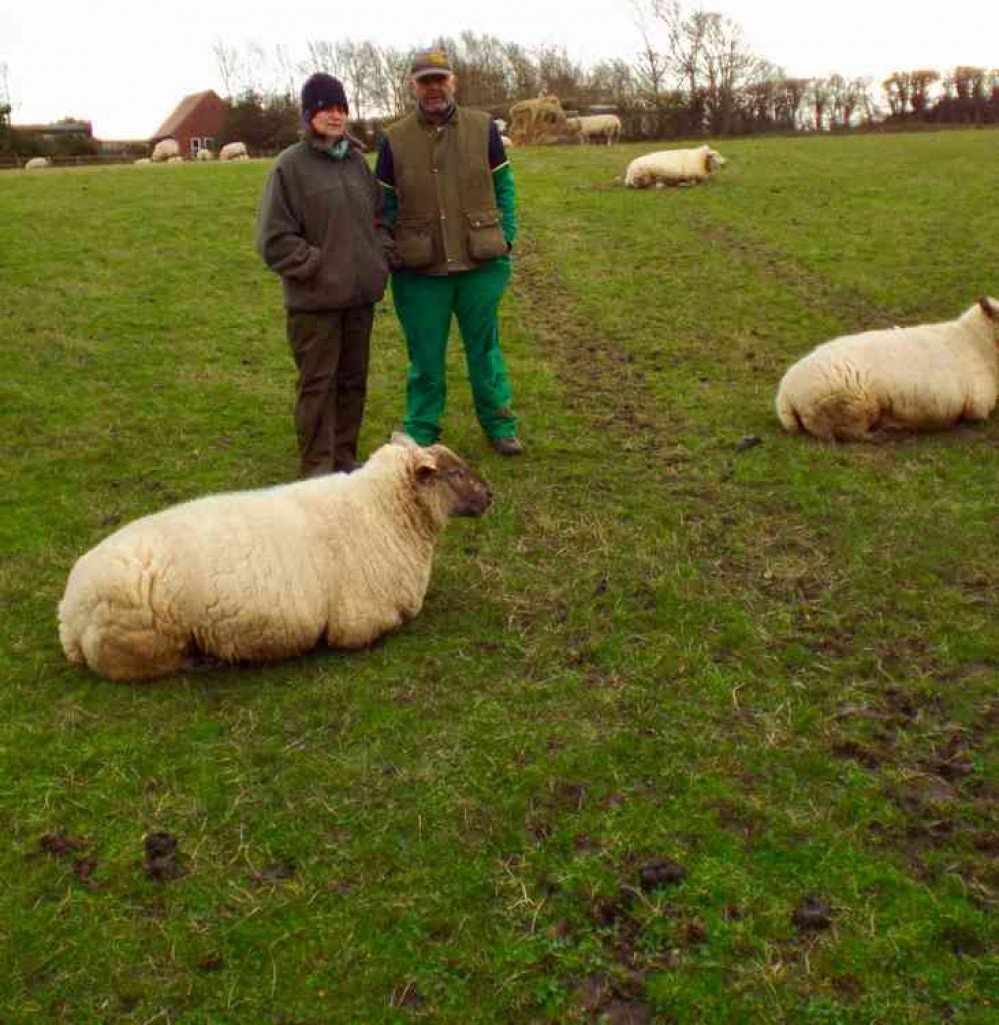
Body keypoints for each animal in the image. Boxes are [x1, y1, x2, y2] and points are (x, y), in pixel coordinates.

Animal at [57, 438, 491, 684]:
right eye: (454, 473)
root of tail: (70, 612)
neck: (381, 508)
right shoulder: (359, 623)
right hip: (144, 645)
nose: (491, 495)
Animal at [778, 297, 999, 440]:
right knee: (845, 433)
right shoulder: (978, 406)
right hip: (852, 406)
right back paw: (883, 432)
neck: (976, 341)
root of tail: (785, 396)